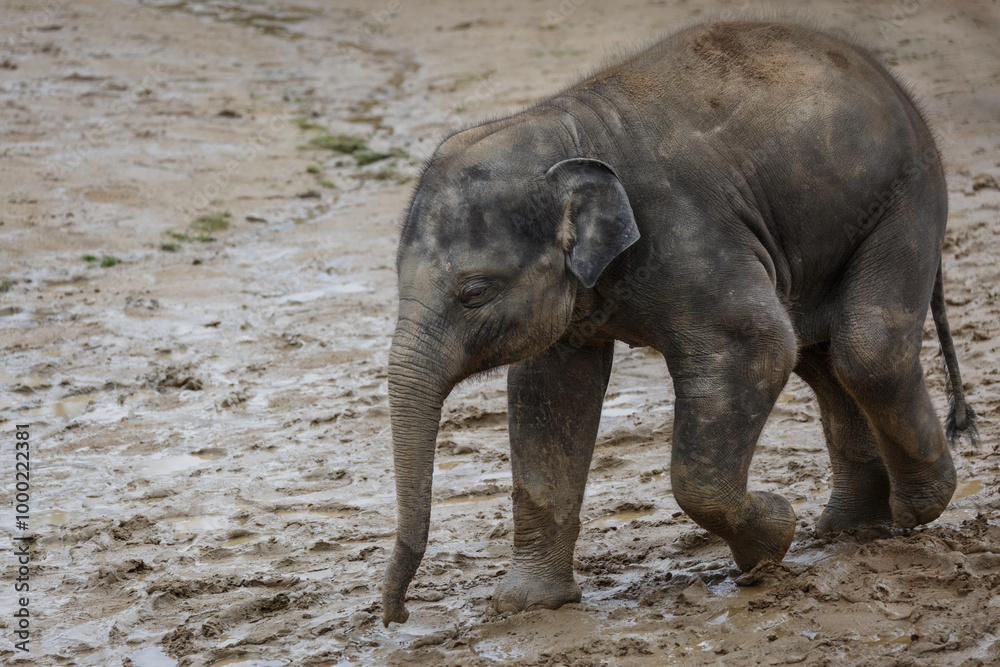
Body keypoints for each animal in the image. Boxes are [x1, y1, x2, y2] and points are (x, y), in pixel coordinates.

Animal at [380, 19, 976, 628]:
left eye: (473, 293)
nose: (396, 616)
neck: (563, 130)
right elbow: (548, 396)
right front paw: (527, 606)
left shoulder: (687, 233)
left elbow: (757, 346)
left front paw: (771, 542)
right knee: (822, 355)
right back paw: (850, 528)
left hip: (906, 197)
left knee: (864, 349)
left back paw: (914, 509)